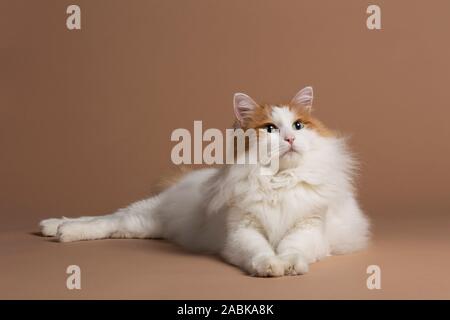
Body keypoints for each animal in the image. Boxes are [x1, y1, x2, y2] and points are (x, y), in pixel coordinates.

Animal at [38, 87, 370, 278]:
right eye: (270, 129)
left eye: (299, 126)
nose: (289, 138)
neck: (278, 180)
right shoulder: (241, 232)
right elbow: (260, 250)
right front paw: (269, 267)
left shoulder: (308, 229)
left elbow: (293, 248)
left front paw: (287, 265)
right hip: (142, 215)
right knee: (105, 220)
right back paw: (58, 228)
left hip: (147, 226)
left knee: (110, 225)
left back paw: (55, 228)